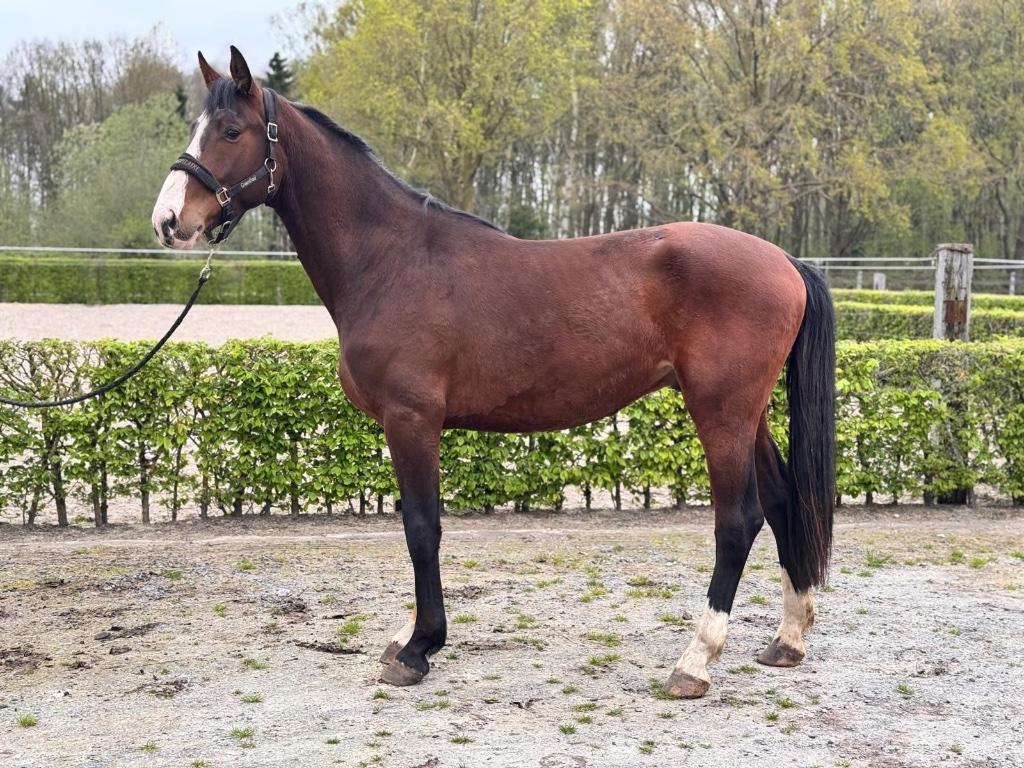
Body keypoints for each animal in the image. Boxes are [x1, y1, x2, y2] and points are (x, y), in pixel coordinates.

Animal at [151, 47, 835, 699]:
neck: (392, 260)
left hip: (720, 411)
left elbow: (421, 527)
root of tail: (785, 260)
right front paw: (411, 635)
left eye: (231, 130)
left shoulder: (412, 420)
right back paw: (787, 639)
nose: (168, 221)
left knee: (738, 520)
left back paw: (694, 661)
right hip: (747, 412)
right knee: (780, 501)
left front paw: (419, 648)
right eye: (197, 127)